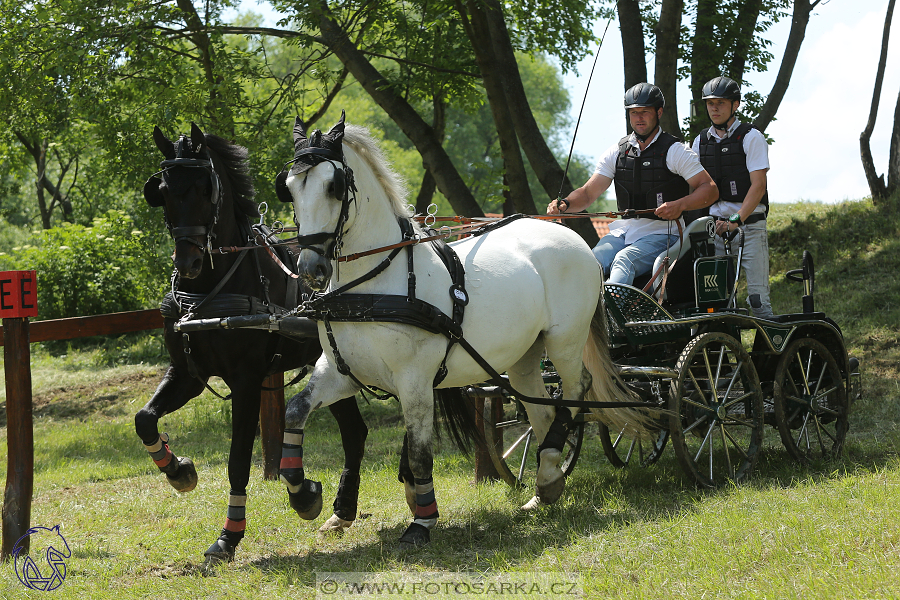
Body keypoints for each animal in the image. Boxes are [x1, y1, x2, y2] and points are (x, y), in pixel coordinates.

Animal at [139, 124, 364, 564]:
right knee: (356, 432)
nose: (188, 263)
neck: (209, 290)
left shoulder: (245, 382)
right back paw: (341, 512)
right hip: (334, 369)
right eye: (163, 190)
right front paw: (179, 471)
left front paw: (228, 537)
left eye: (205, 188)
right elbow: (144, 419)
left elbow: (237, 460)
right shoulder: (187, 374)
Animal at [276, 113, 648, 548]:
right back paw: (547, 479)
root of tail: (572, 237)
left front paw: (422, 521)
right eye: (290, 187)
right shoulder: (341, 372)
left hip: (565, 341)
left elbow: (420, 452)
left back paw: (549, 470)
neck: (372, 285)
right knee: (541, 407)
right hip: (524, 356)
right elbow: (295, 410)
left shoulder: (415, 380)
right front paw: (304, 495)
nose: (310, 268)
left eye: (333, 186)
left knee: (576, 391)